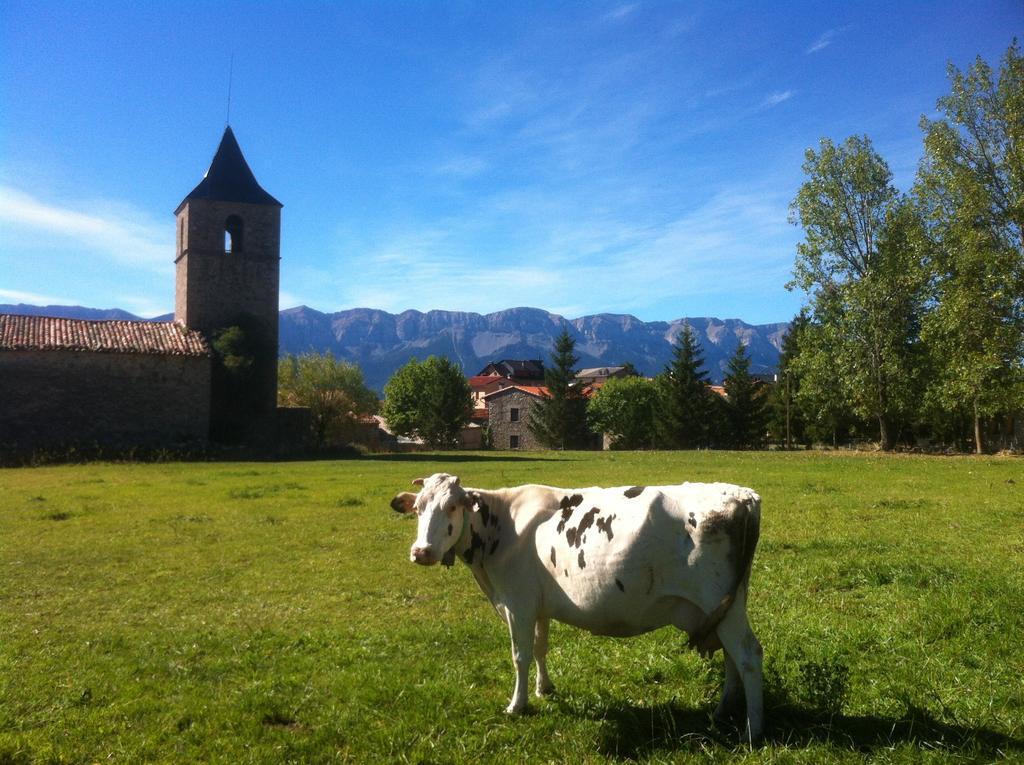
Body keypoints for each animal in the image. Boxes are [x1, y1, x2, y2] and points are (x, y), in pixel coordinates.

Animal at [391, 473, 761, 741]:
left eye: (453, 507)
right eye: (418, 508)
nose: (421, 551)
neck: (502, 527)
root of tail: (740, 495)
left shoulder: (517, 603)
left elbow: (520, 656)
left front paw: (517, 705)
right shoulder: (538, 605)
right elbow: (540, 648)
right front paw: (545, 689)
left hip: (718, 601)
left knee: (748, 655)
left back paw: (752, 730)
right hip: (726, 607)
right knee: (732, 655)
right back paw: (723, 711)